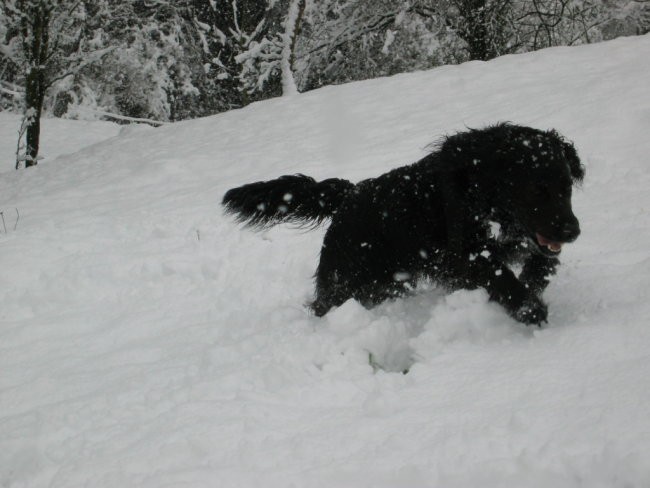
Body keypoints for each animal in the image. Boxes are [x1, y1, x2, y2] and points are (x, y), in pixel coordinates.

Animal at [224, 123, 584, 324]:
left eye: (566, 188)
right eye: (536, 190)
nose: (573, 231)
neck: (480, 188)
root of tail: (350, 193)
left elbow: (542, 265)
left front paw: (532, 287)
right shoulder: (467, 252)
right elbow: (500, 275)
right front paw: (529, 309)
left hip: (387, 282)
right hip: (344, 281)